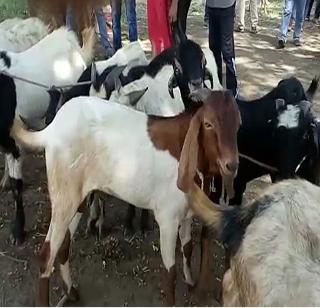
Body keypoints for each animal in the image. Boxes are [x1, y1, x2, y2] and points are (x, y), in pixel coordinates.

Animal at [10, 88, 240, 306]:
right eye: (208, 124)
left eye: (238, 124)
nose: (232, 164)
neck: (182, 145)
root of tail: (52, 129)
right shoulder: (167, 217)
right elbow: (170, 273)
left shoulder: (186, 214)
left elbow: (187, 247)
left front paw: (191, 282)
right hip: (63, 197)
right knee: (46, 254)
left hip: (78, 199)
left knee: (64, 245)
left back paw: (71, 292)